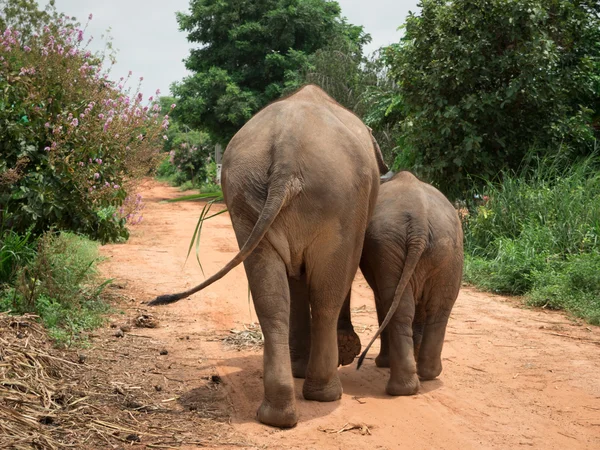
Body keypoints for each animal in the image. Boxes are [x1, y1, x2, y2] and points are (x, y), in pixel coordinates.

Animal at [148, 85, 386, 428]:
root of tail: (287, 151)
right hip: (338, 203)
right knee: (325, 296)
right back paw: (324, 395)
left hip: (246, 196)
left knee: (271, 299)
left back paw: (277, 414)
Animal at [340, 171, 462, 396]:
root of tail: (420, 224)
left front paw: (384, 364)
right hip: (441, 251)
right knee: (436, 309)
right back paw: (425, 375)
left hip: (417, 250)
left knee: (401, 307)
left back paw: (405, 385)